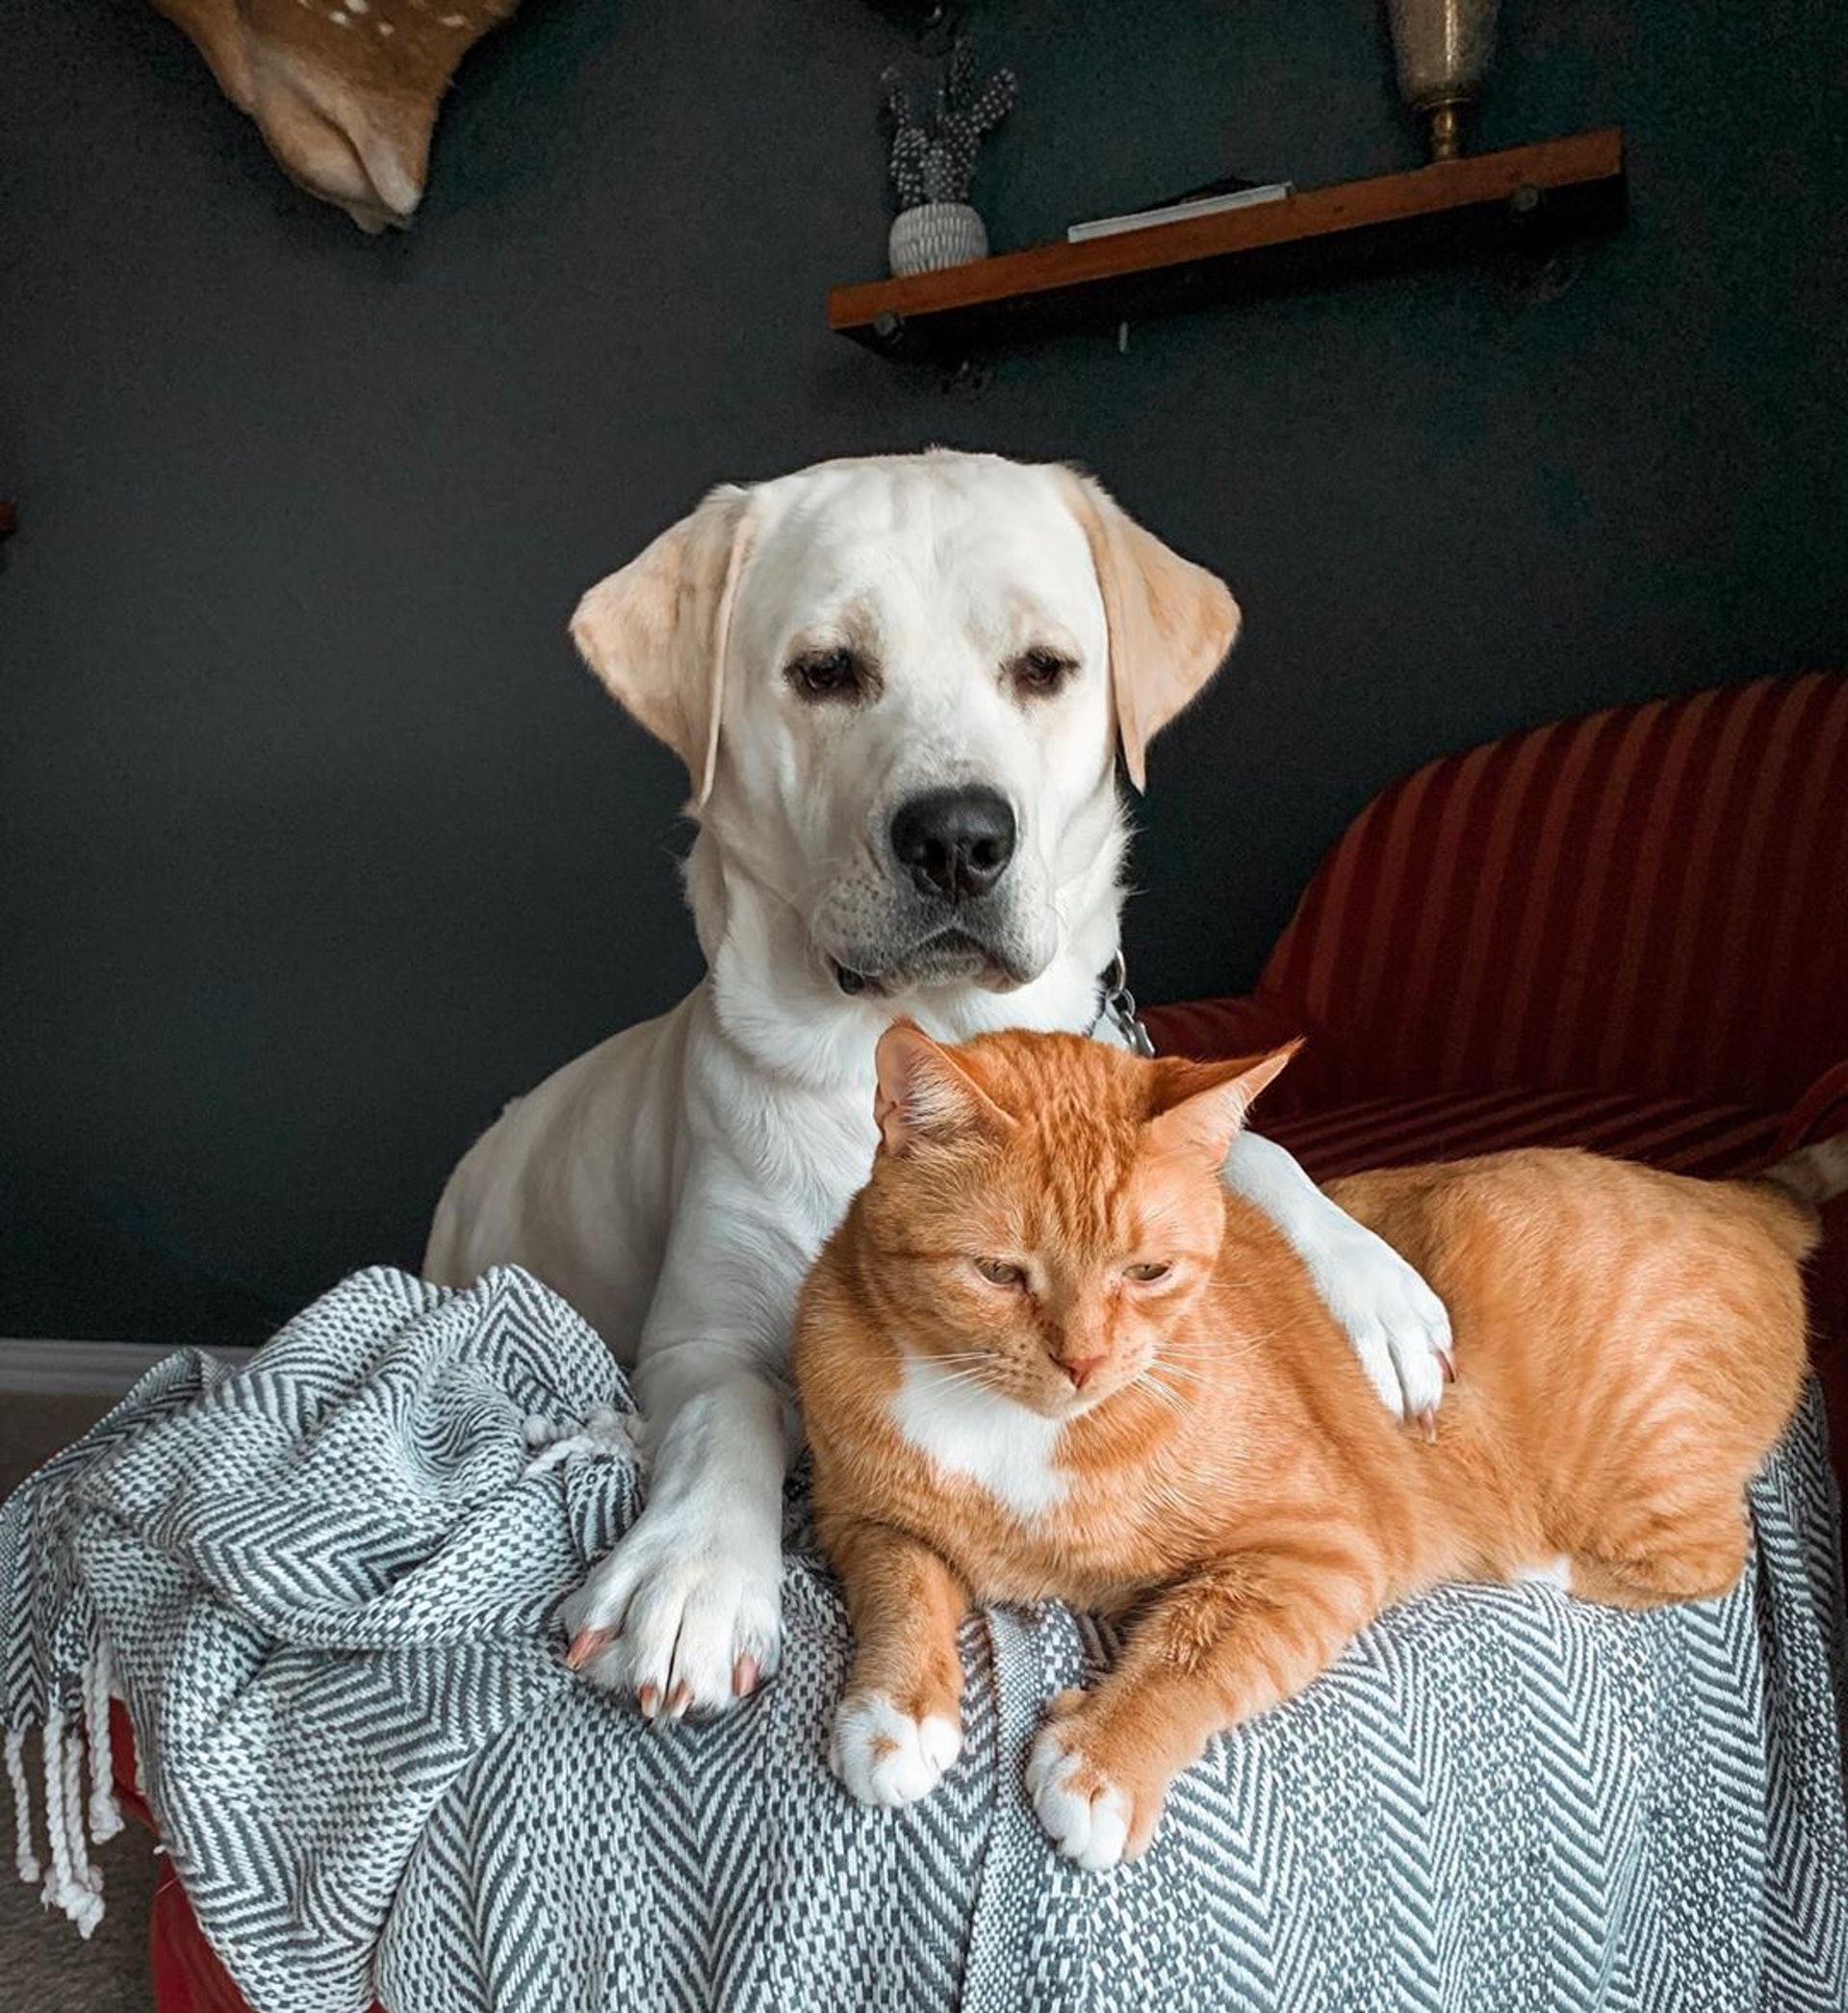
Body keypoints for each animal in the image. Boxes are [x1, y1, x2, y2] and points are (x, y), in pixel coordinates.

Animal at [424, 450, 1449, 1720]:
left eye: (1044, 668)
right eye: (825, 672)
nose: (958, 839)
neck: (927, 1051)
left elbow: (1251, 1150)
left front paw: (1365, 1280)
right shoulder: (699, 1332)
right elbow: (730, 1409)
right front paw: (694, 1574)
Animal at [792, 1022, 1844, 1870]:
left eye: (1149, 1271)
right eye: (1000, 1273)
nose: (1082, 1361)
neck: (1009, 1430)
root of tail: (1738, 1194)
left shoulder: (1315, 1553)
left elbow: (1192, 1656)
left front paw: (1102, 1764)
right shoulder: (862, 1517)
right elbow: (902, 1595)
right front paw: (894, 1717)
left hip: (1636, 1475)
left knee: (1713, 1555)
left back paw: (1535, 1565)